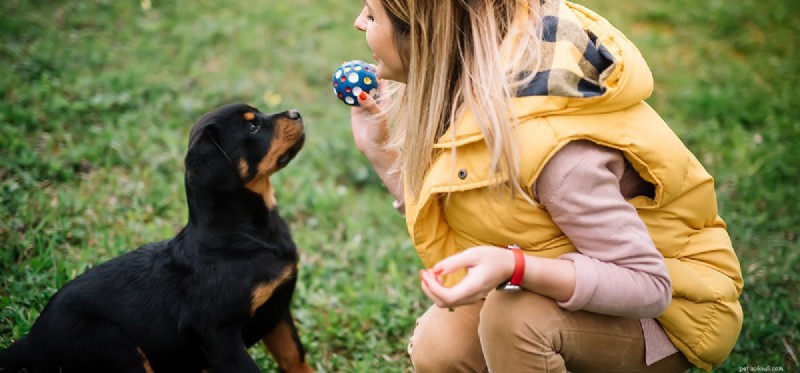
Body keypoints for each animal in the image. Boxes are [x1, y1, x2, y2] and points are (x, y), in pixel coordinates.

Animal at [0, 102, 312, 372]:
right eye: (253, 126)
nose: (296, 113)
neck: (246, 232)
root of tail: (31, 341)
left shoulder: (278, 311)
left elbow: (295, 358)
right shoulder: (221, 334)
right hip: (114, 344)